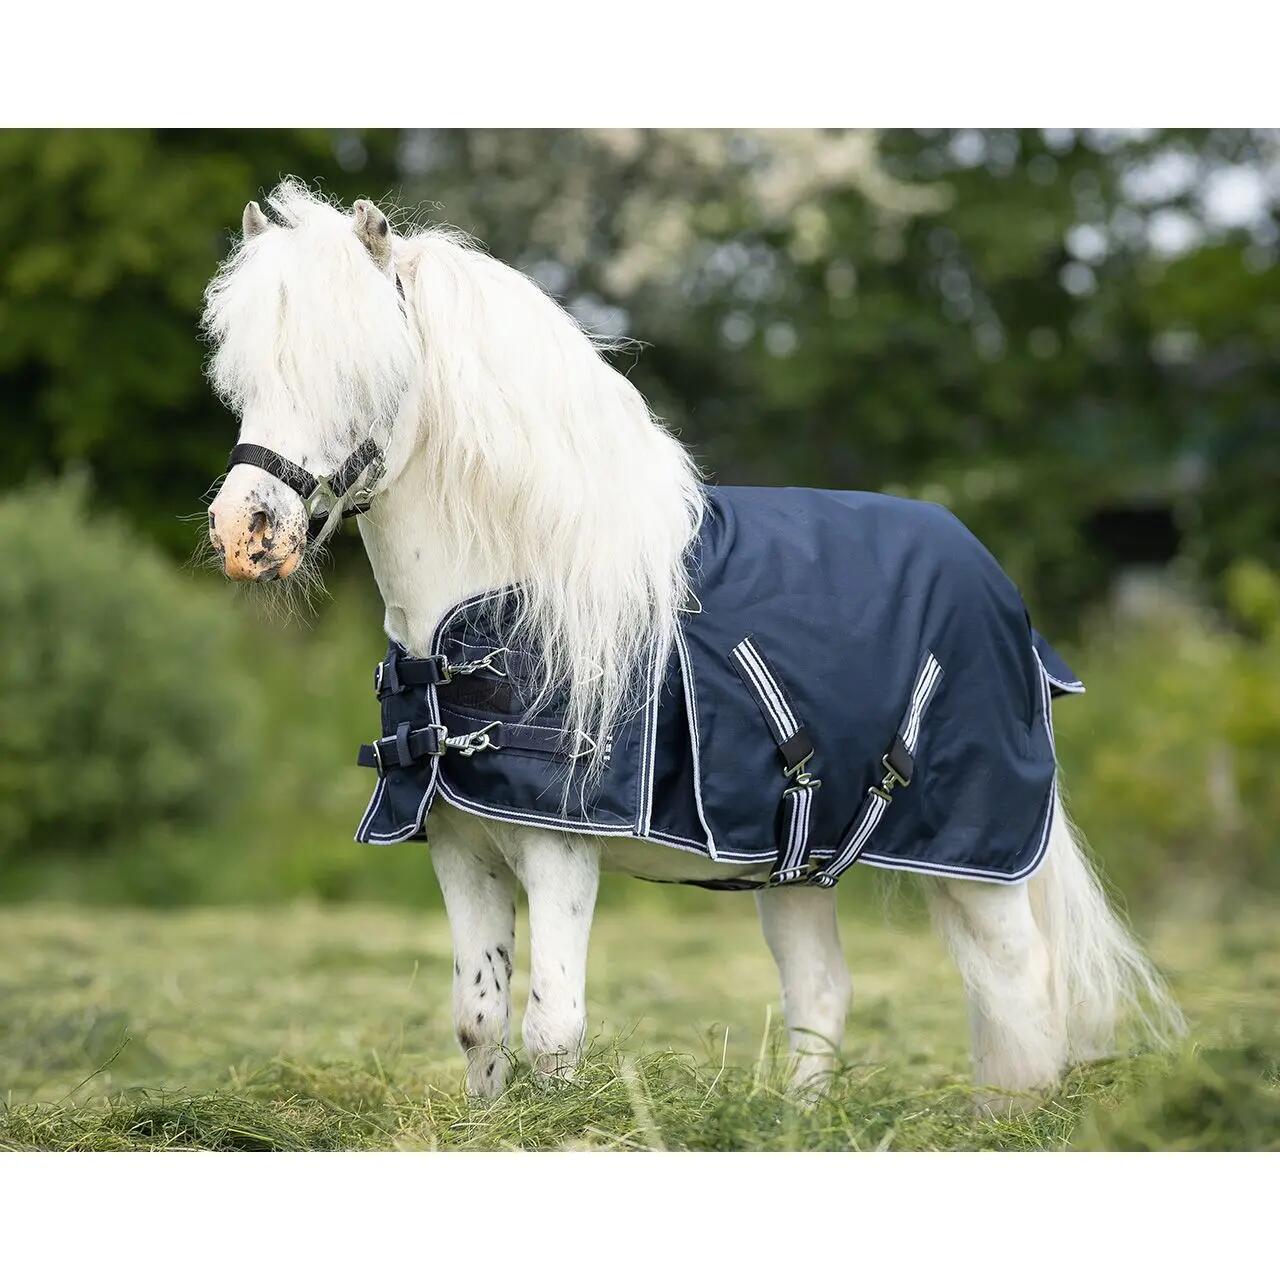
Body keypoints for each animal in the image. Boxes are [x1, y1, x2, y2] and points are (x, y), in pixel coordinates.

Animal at [203, 181, 1184, 1109]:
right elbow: (479, 1021)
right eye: (243, 378)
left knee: (1019, 992)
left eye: (361, 374)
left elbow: (555, 1027)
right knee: (825, 994)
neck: (517, 594)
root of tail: (1003, 595)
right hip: (801, 867)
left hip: (983, 862)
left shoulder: (561, 847)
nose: (246, 531)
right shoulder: (458, 843)